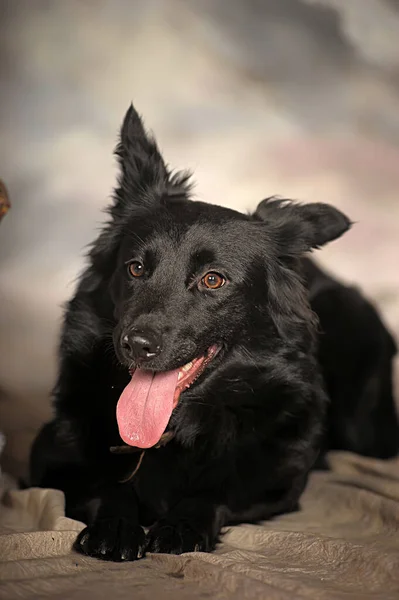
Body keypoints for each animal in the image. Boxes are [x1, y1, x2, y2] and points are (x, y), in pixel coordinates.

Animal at [28, 104, 399, 564]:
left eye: (212, 280)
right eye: (136, 268)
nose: (136, 345)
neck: (175, 426)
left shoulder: (280, 477)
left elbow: (217, 492)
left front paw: (181, 525)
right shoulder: (48, 457)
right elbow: (106, 485)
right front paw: (115, 525)